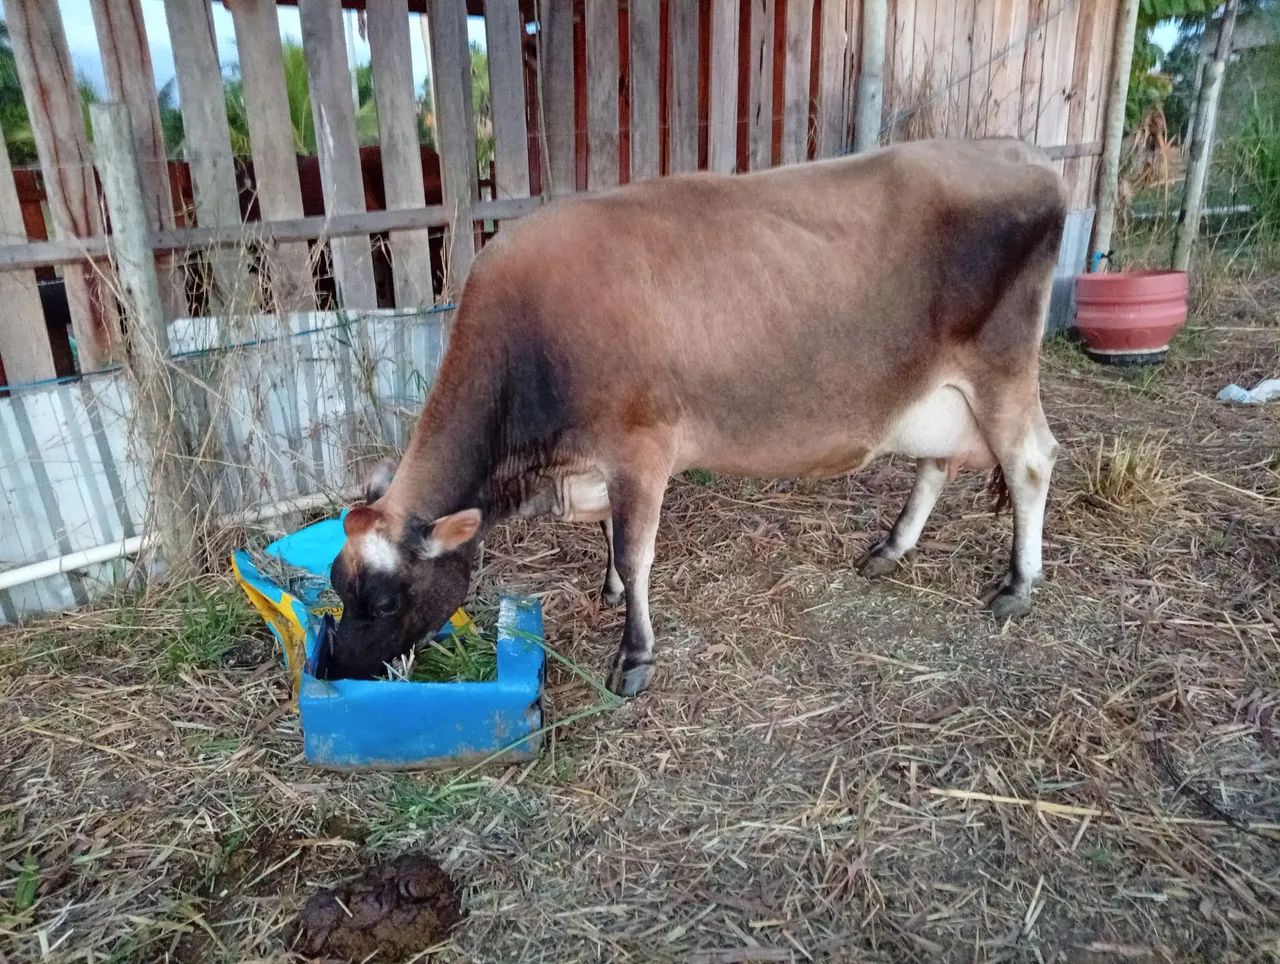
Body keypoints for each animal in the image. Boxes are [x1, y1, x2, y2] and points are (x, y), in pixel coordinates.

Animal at [325, 138, 1065, 697]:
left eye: (386, 601)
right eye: (335, 585)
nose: (336, 669)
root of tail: (1020, 153)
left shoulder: (640, 448)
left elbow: (635, 549)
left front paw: (634, 655)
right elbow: (612, 538)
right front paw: (609, 591)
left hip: (1001, 368)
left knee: (1031, 461)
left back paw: (1018, 584)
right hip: (938, 393)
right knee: (937, 462)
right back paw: (890, 548)